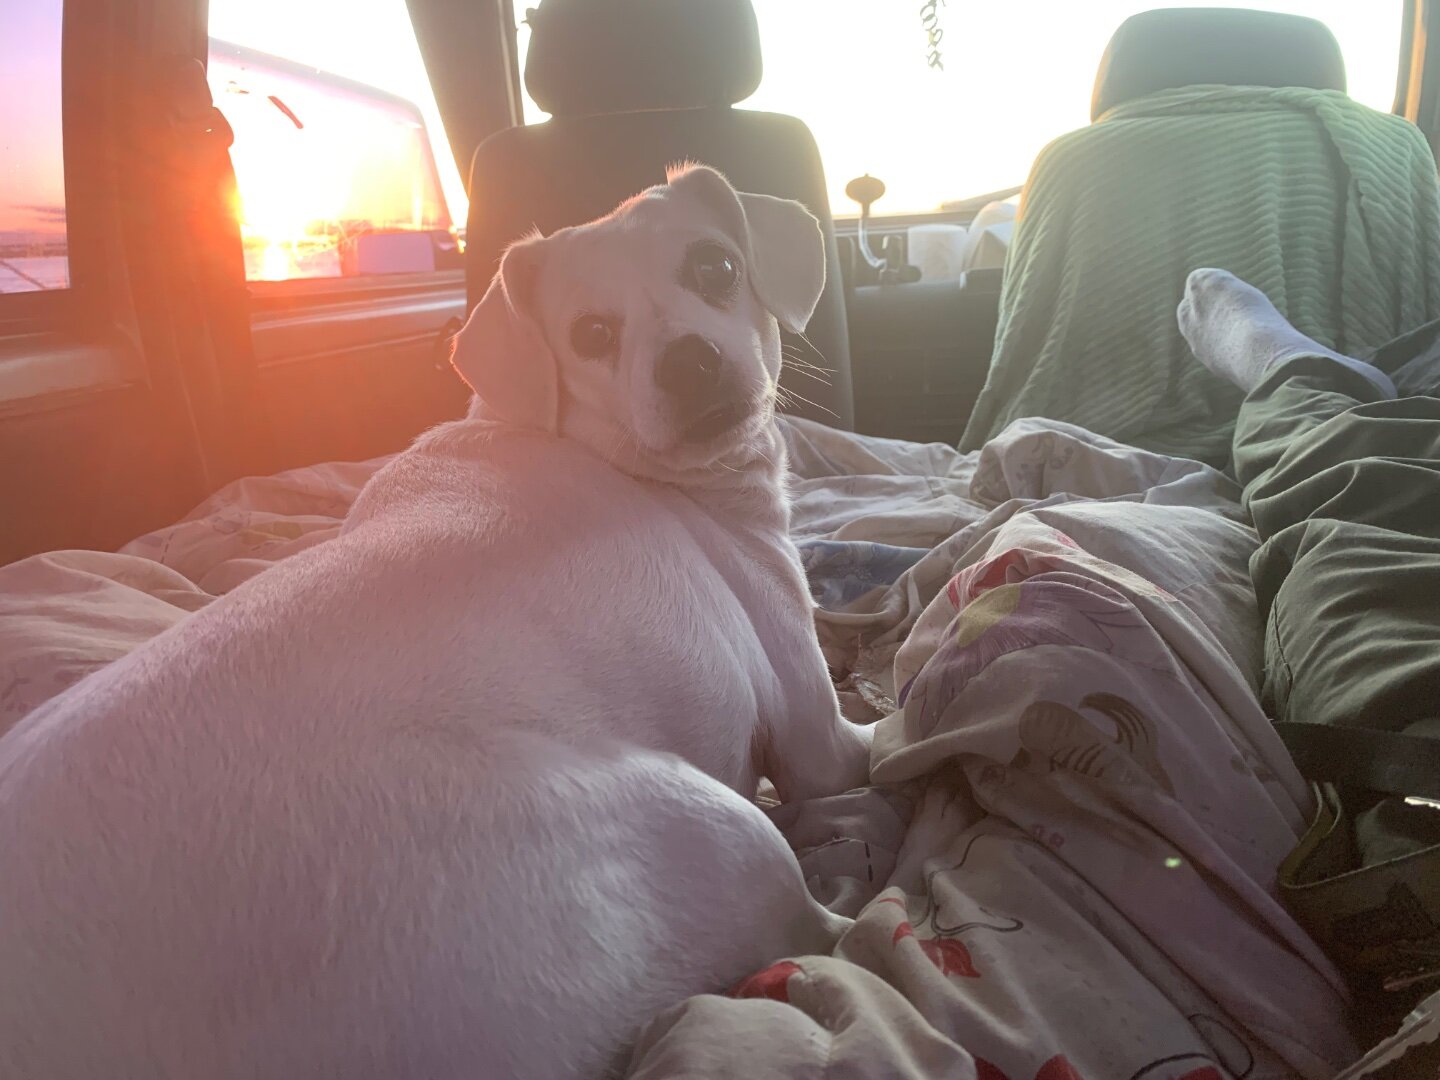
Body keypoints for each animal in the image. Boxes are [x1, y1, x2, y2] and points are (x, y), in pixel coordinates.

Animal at [0, 164, 873, 1079]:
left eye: (716, 268)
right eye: (592, 334)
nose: (690, 362)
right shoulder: (815, 730)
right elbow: (856, 745)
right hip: (706, 827)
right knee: (826, 930)